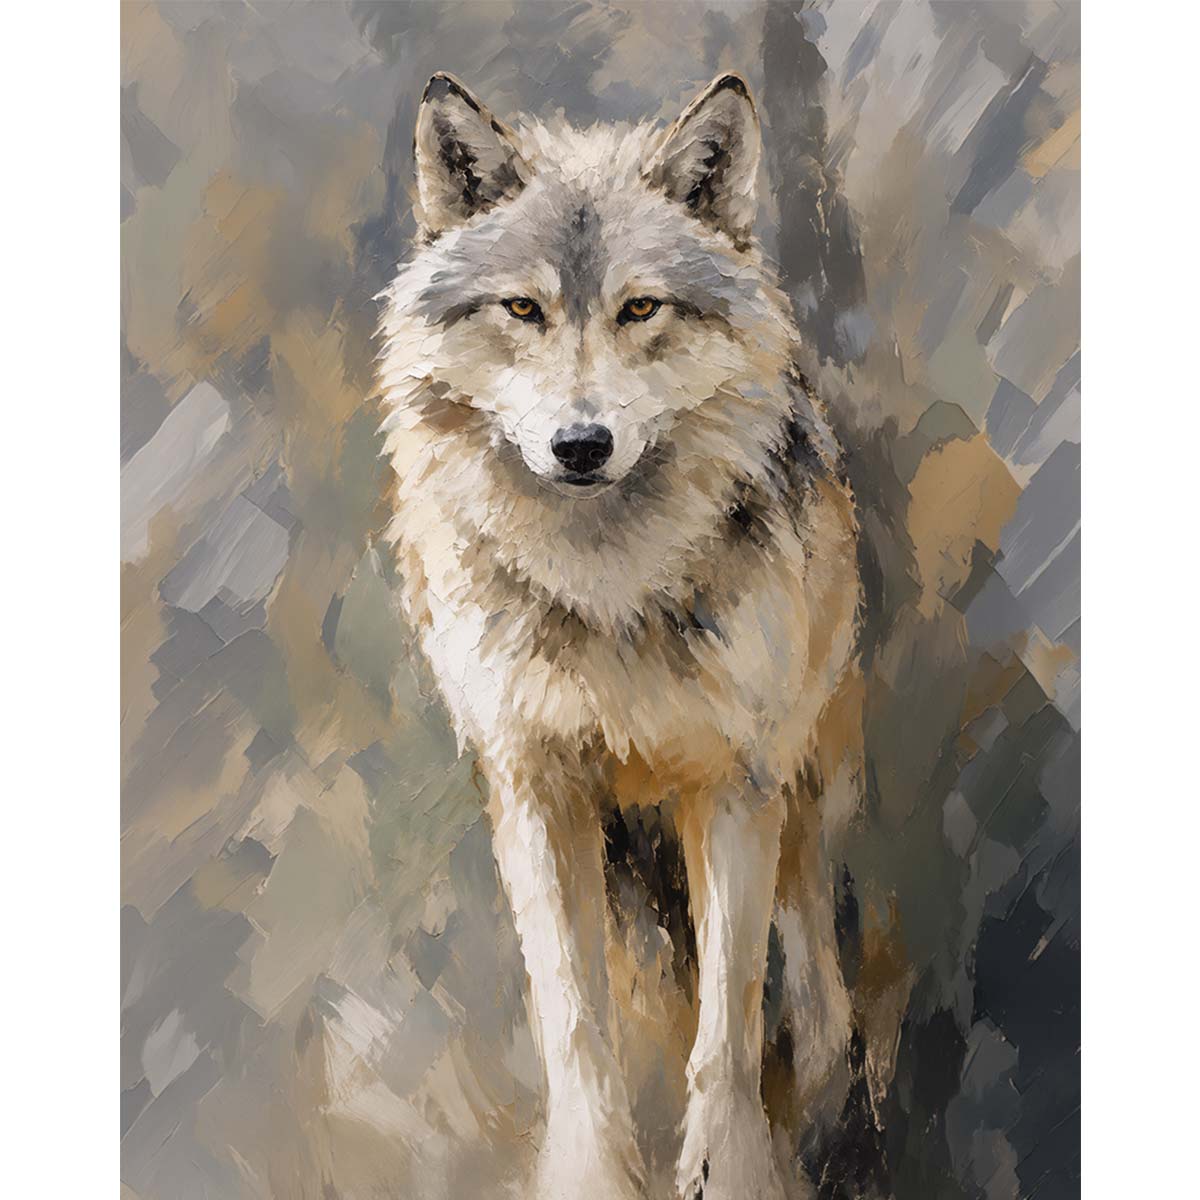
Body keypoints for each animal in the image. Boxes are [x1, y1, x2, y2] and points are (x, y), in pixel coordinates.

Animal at [376, 71, 864, 1200]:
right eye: (524, 308)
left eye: (640, 307)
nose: (581, 444)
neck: (606, 589)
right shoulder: (532, 785)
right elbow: (573, 1018)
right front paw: (593, 1173)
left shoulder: (733, 782)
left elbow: (729, 1022)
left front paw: (731, 1168)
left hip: (808, 757)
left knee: (808, 905)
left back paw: (831, 1067)